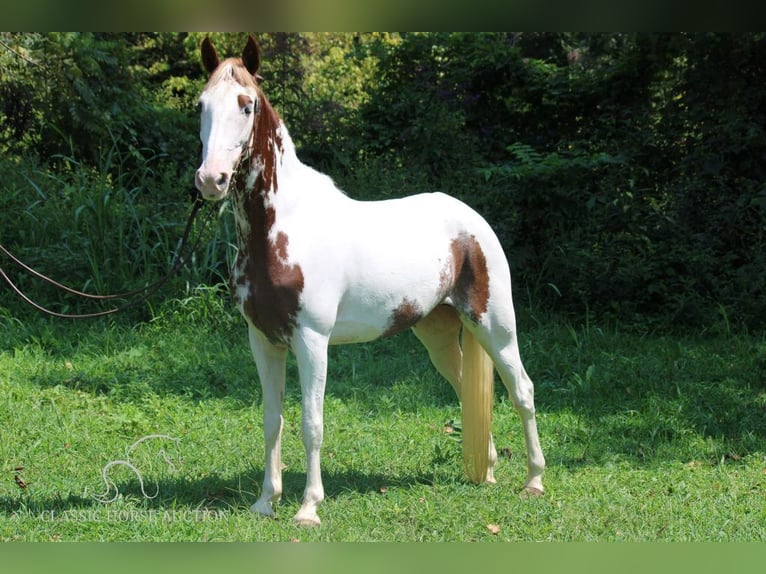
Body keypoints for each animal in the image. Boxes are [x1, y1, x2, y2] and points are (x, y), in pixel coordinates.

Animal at [196, 36, 544, 528]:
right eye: (201, 105)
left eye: (246, 105)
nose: (211, 180)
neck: (283, 228)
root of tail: (473, 222)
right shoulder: (263, 340)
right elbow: (271, 421)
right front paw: (266, 502)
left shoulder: (311, 341)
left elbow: (312, 423)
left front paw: (308, 507)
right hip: (438, 335)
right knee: (468, 394)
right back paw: (488, 471)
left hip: (495, 325)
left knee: (522, 391)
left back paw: (534, 480)